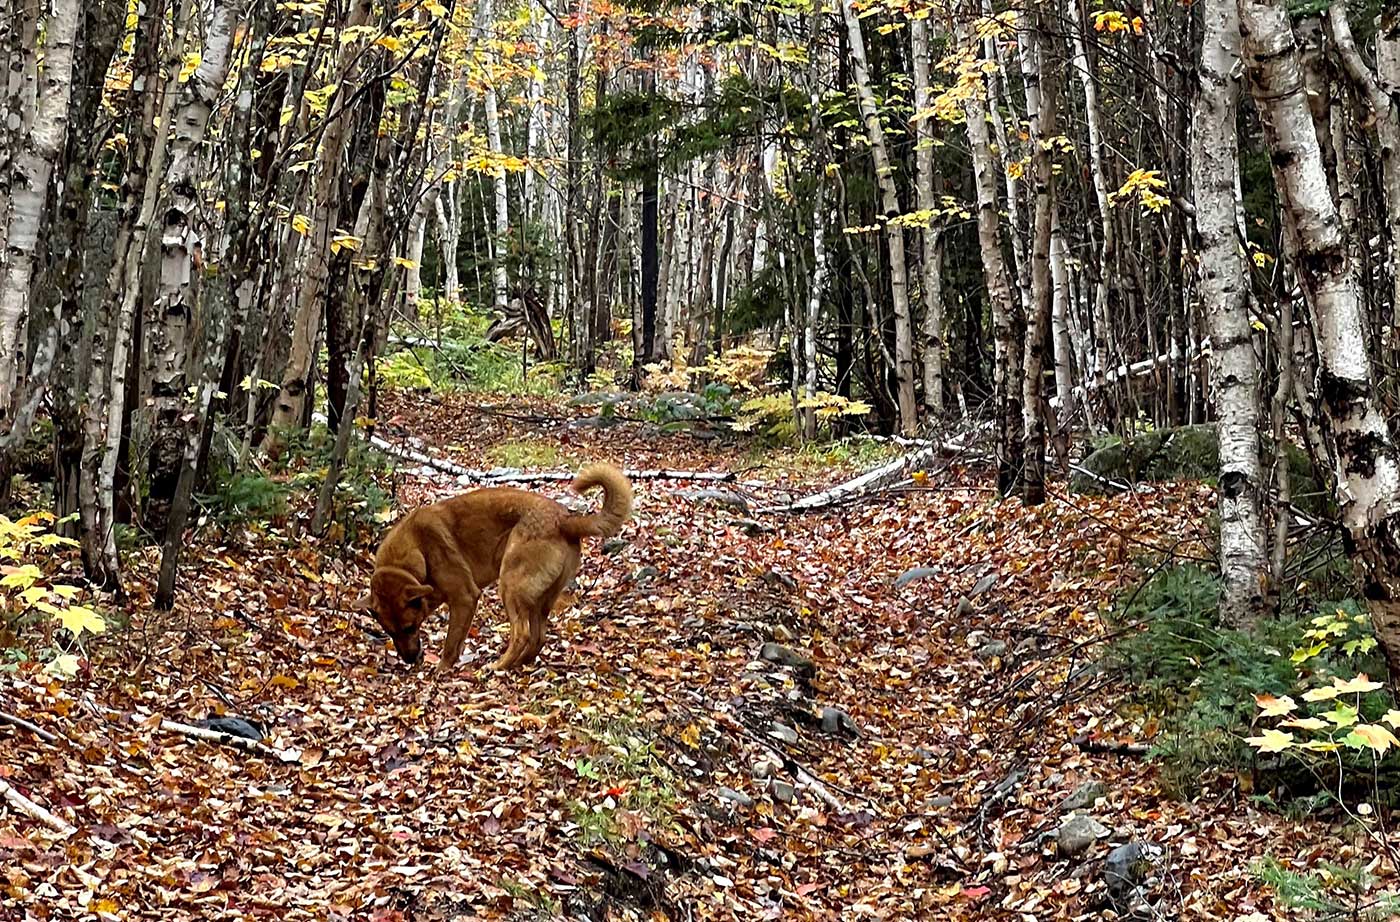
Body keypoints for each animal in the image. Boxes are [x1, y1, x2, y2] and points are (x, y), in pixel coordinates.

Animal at [355, 470, 635, 671]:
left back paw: (499, 666)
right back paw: (518, 665)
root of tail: (565, 520)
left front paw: (442, 669)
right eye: (390, 632)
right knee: (538, 636)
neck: (416, 548)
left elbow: (450, 643)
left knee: (522, 634)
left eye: (410, 627)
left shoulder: (465, 597)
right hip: (538, 599)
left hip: (510, 586)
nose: (410, 660)